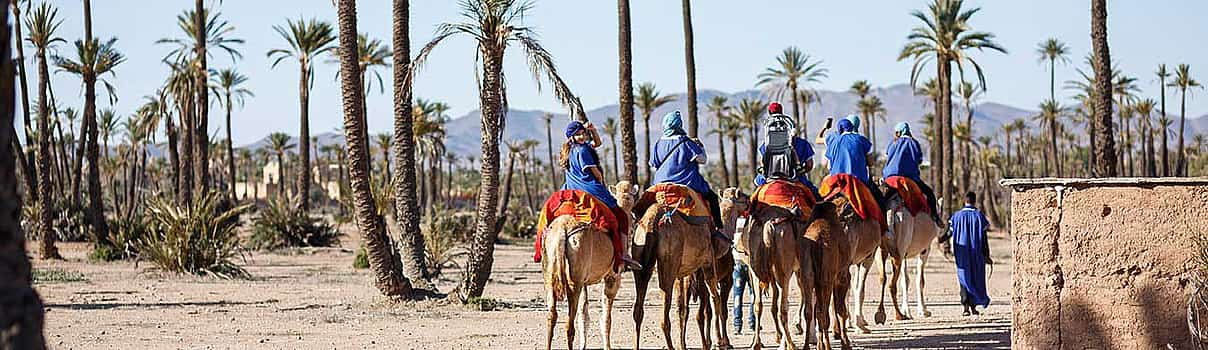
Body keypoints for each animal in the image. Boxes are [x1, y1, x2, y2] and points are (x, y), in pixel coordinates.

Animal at [543, 183, 642, 350]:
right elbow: (606, 318)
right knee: (569, 325)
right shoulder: (612, 277)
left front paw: (583, 346)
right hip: (575, 278)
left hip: (551, 269)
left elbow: (584, 314)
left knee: (552, 315)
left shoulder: (584, 281)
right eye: (630, 197)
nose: (634, 216)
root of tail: (562, 230)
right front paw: (607, 347)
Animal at [632, 183, 724, 350]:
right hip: (669, 262)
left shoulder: (684, 273)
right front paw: (716, 342)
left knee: (638, 310)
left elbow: (683, 307)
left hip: (640, 258)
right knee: (665, 318)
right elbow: (711, 301)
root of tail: (652, 222)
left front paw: (687, 344)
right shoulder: (706, 262)